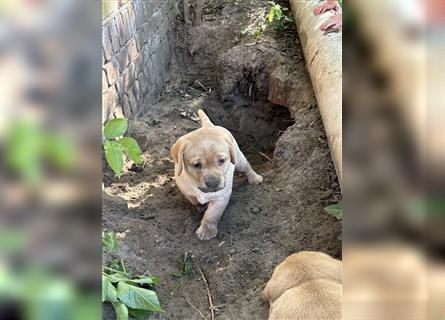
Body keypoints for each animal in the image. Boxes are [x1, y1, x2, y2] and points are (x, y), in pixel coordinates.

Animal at [169, 110, 260, 240]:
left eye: (221, 161)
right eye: (196, 165)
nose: (213, 183)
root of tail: (209, 126)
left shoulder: (221, 197)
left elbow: (212, 214)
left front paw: (207, 230)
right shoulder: (185, 189)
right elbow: (192, 199)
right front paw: (199, 206)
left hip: (238, 159)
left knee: (247, 166)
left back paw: (255, 178)